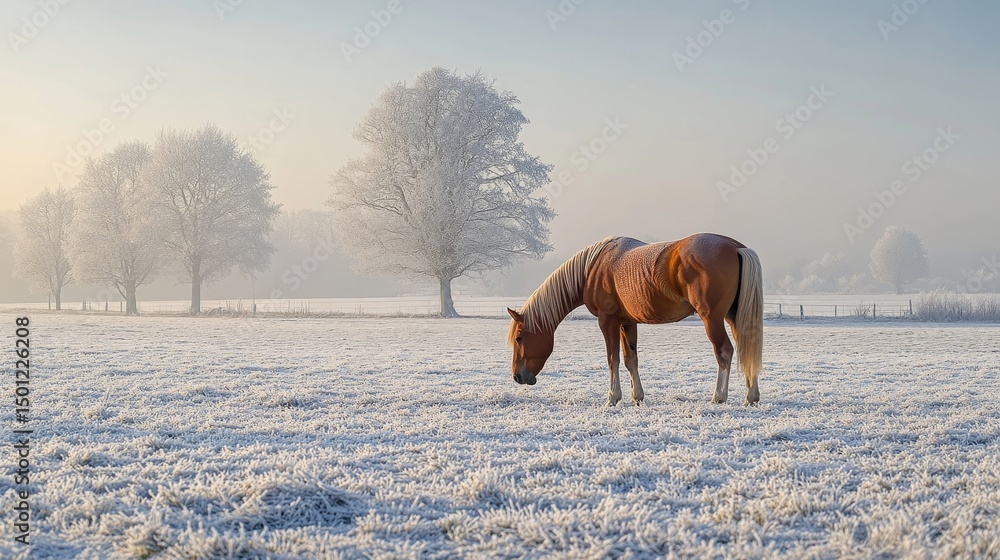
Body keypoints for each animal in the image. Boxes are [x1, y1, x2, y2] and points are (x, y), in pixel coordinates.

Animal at [507, 233, 763, 406]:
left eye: (519, 338)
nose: (517, 377)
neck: (592, 269)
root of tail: (736, 247)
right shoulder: (627, 323)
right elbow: (631, 359)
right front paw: (637, 397)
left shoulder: (607, 321)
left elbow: (613, 359)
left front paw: (612, 398)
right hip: (733, 318)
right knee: (745, 349)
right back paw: (751, 397)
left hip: (712, 318)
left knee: (724, 352)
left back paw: (719, 396)